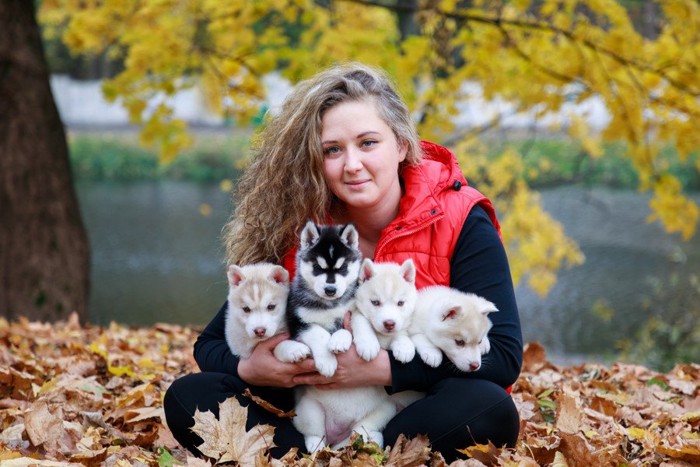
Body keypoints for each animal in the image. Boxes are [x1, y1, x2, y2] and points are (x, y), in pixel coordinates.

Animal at [272, 221, 360, 378]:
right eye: (317, 267)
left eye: (342, 268)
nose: (330, 290)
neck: (330, 304)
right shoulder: (298, 320)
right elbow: (319, 333)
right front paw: (327, 362)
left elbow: (346, 327)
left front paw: (339, 340)